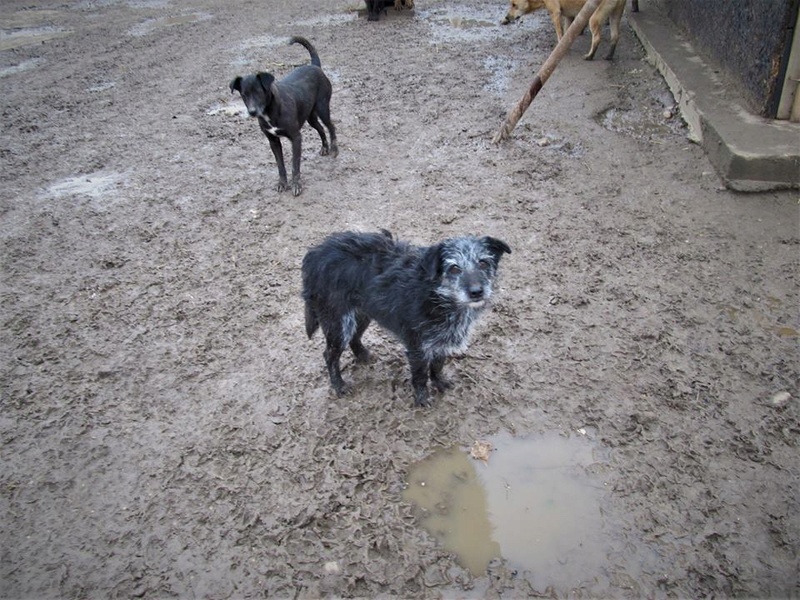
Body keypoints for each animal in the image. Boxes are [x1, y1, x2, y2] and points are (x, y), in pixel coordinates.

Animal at [228, 36, 338, 197]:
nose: (252, 112)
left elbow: (294, 165)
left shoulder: (296, 138)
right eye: (244, 94)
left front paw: (296, 185)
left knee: (331, 126)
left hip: (323, 108)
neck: (270, 111)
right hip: (310, 117)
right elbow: (280, 165)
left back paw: (334, 149)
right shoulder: (273, 141)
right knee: (321, 129)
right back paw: (325, 147)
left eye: (259, 92)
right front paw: (282, 183)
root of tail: (315, 66)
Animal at [300, 230, 512, 408]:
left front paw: (440, 383)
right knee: (329, 355)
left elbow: (438, 365)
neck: (436, 295)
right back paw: (339, 385)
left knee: (354, 337)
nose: (477, 292)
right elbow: (420, 375)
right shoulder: (416, 345)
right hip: (339, 321)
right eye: (454, 268)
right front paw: (422, 399)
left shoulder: (441, 340)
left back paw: (363, 355)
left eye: (483, 263)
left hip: (362, 314)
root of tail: (315, 254)